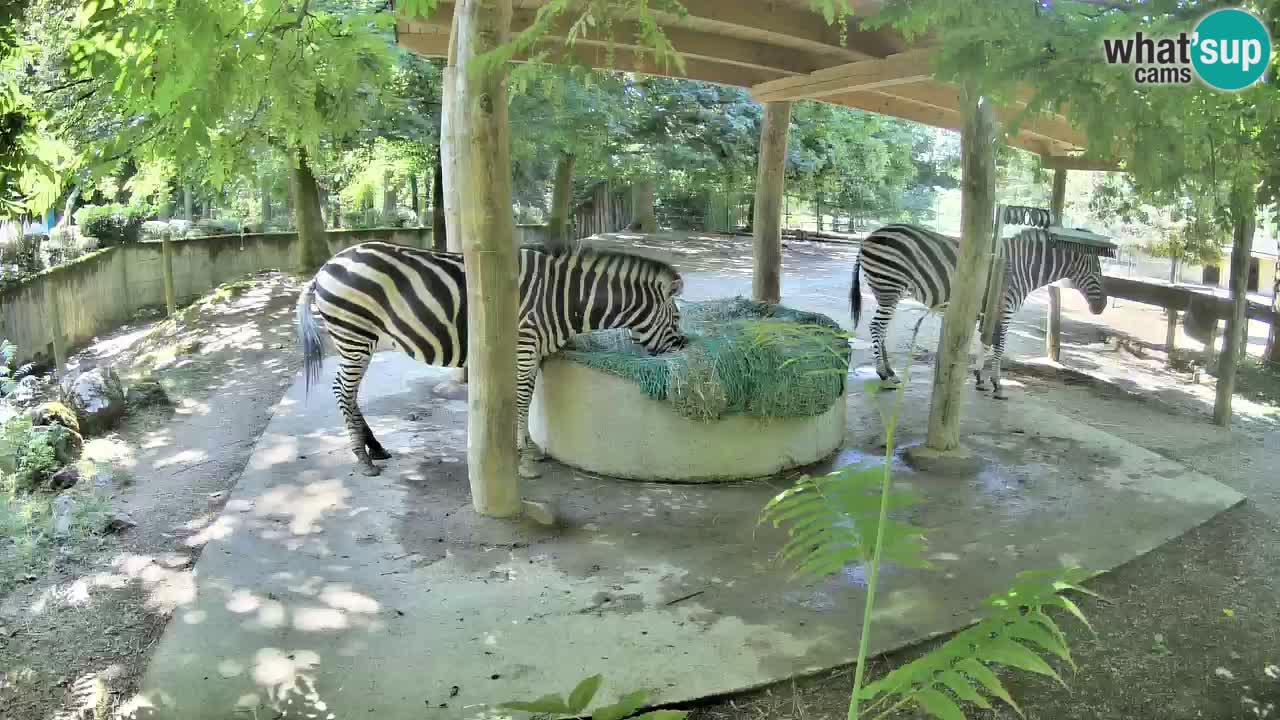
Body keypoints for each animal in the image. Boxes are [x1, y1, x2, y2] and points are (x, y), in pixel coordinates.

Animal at [295, 241, 688, 476]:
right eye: (677, 318)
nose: (685, 348)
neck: (564, 298)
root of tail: (327, 265)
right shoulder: (525, 346)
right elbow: (523, 399)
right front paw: (524, 456)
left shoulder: (535, 352)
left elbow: (527, 399)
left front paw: (527, 447)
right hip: (354, 335)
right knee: (342, 391)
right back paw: (362, 459)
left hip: (360, 340)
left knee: (350, 394)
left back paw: (374, 448)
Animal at [850, 223, 1107, 399]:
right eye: (1096, 270)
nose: (1102, 307)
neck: (1022, 266)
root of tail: (869, 236)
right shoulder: (1005, 308)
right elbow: (999, 345)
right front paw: (997, 383)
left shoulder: (990, 310)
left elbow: (986, 343)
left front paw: (979, 378)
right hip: (889, 286)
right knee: (876, 327)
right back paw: (882, 373)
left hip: (888, 291)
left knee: (881, 330)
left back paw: (890, 370)